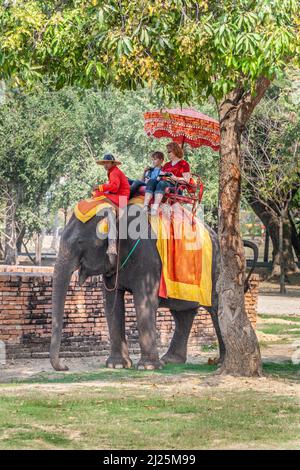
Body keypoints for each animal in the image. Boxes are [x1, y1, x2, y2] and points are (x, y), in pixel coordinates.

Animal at [49, 204, 258, 372]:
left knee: (215, 309)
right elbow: (112, 304)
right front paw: (117, 365)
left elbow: (144, 301)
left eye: (79, 242)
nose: (65, 367)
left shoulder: (147, 257)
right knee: (182, 314)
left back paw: (221, 363)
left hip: (217, 270)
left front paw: (147, 367)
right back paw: (171, 361)